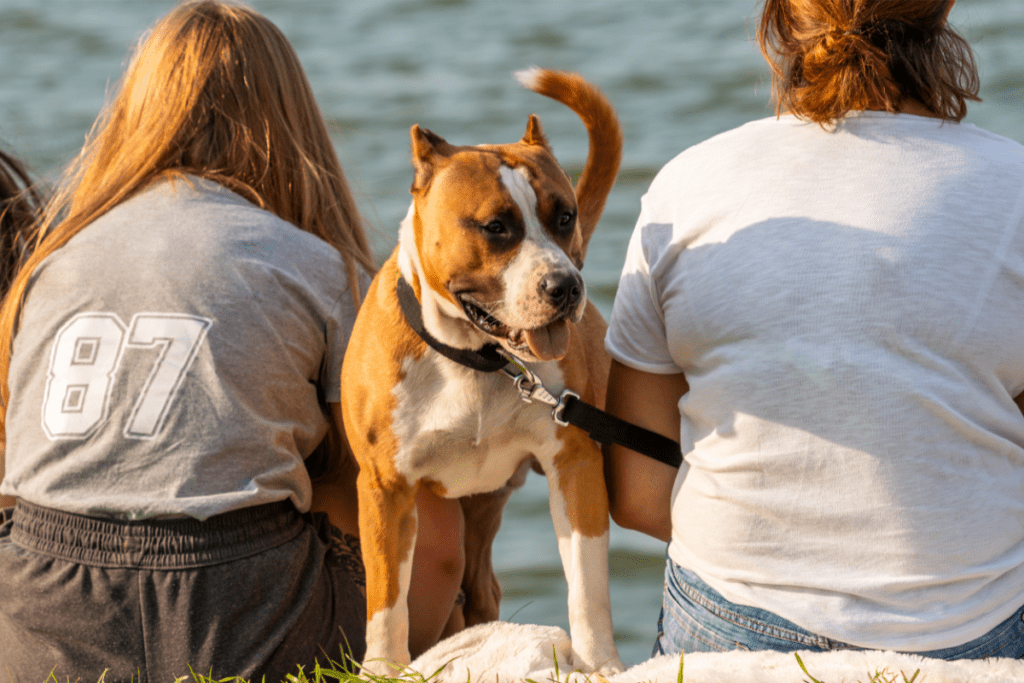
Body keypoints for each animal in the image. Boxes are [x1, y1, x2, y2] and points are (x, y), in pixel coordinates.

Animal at [342, 66, 622, 675]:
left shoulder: (575, 463)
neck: (476, 359)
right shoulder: (385, 486)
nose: (566, 286)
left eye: (565, 217)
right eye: (496, 227)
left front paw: (601, 664)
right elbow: (386, 597)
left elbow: (588, 584)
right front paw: (383, 669)